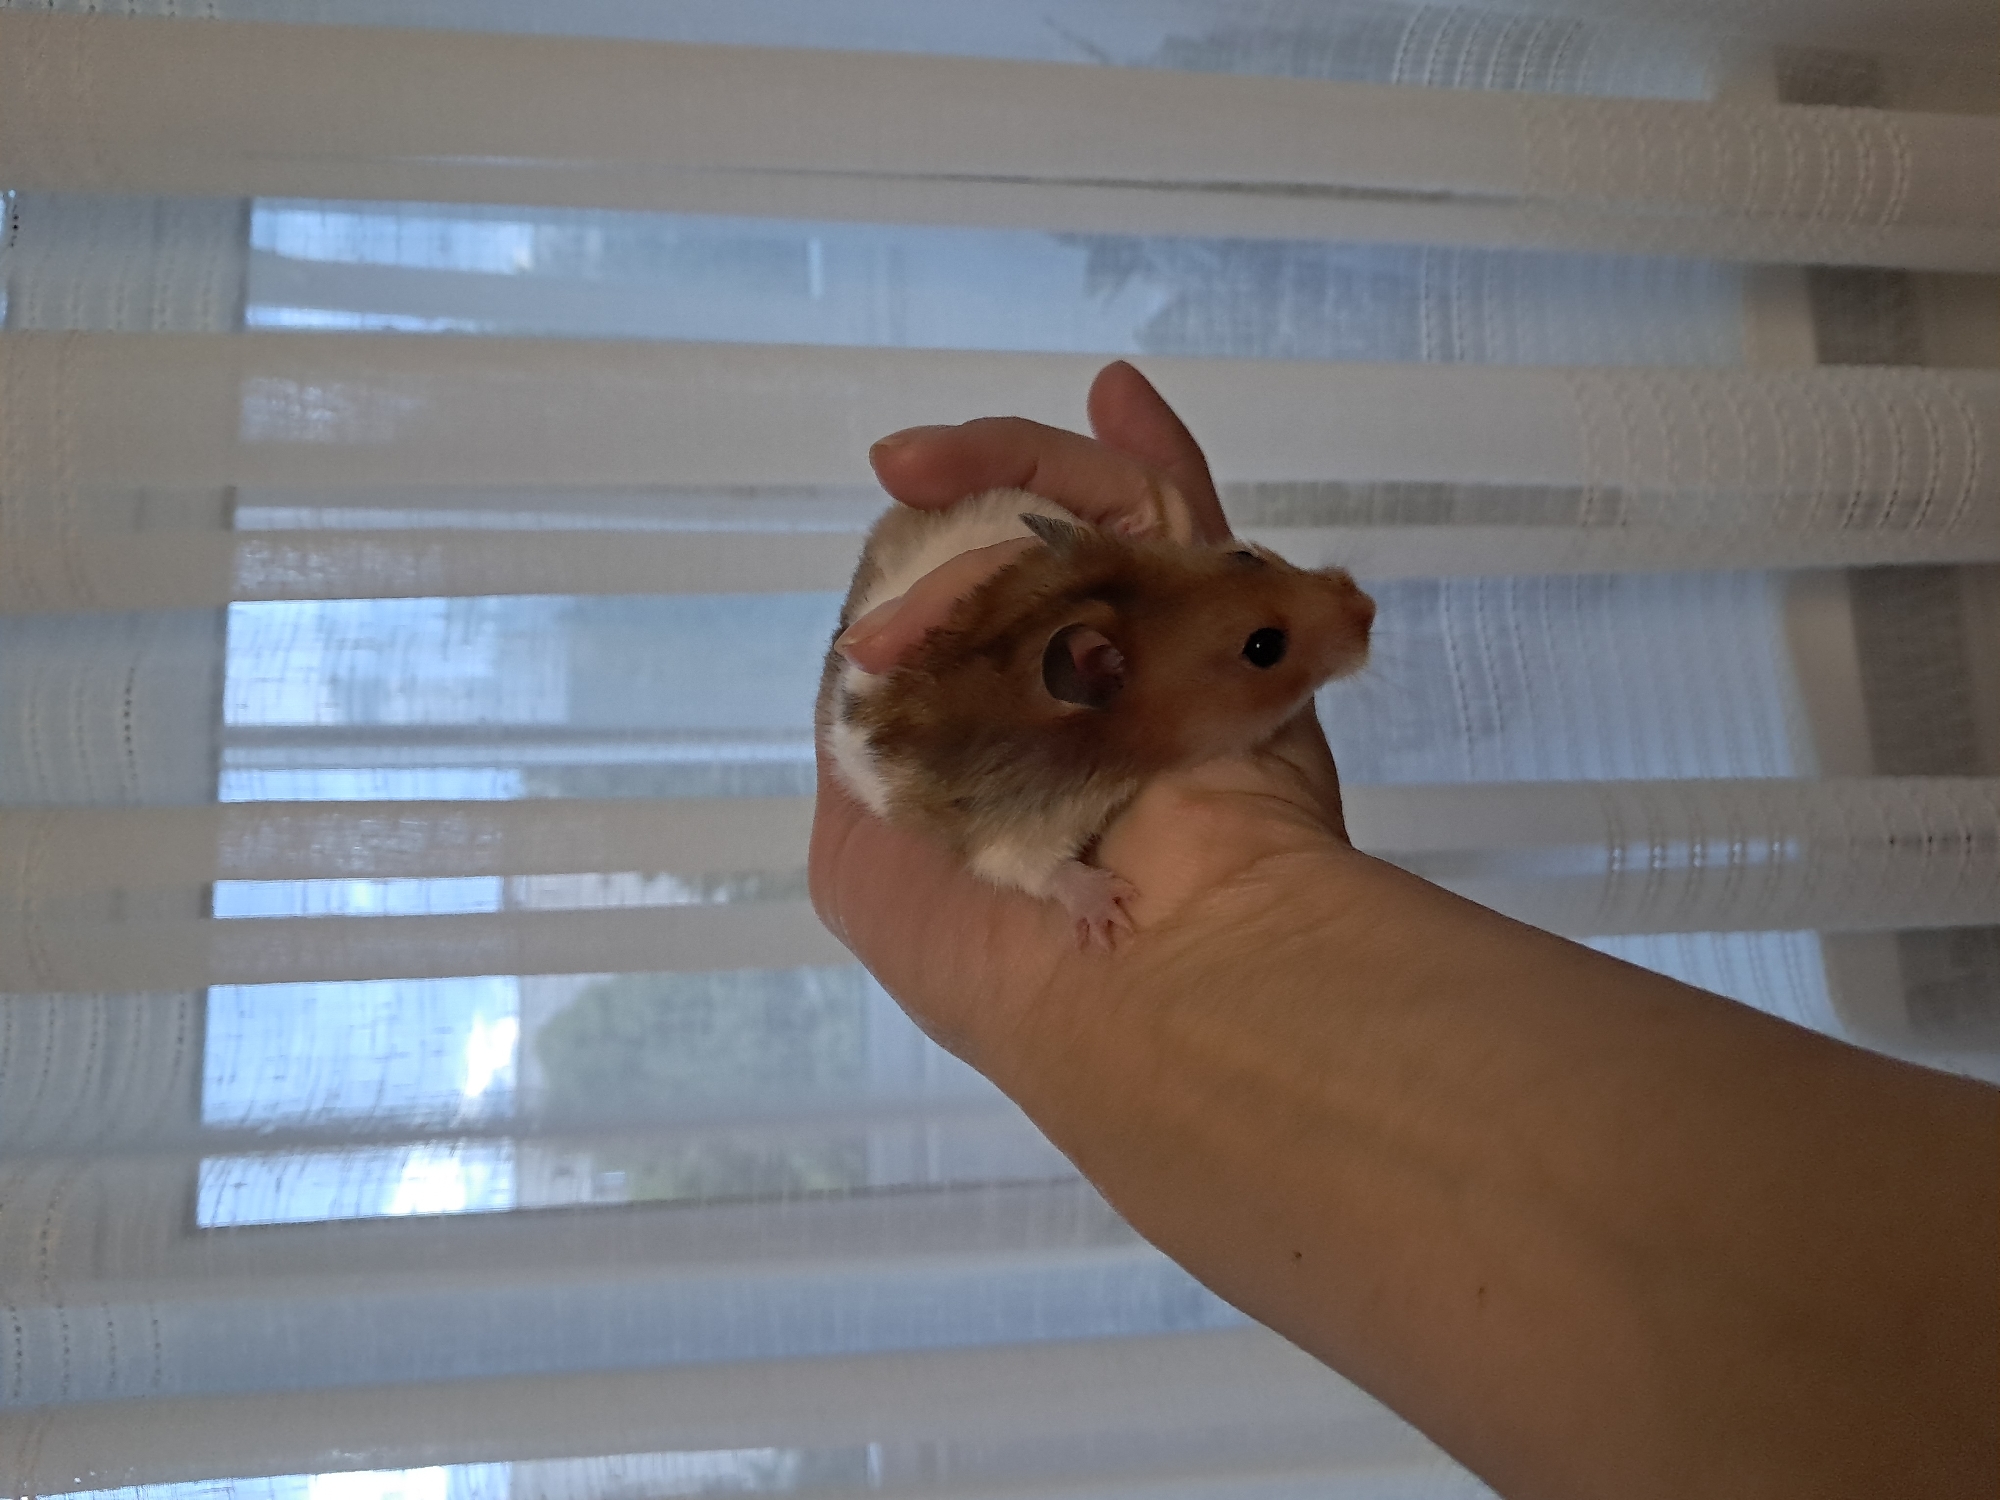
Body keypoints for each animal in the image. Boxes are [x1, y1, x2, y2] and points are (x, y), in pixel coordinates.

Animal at [819, 488, 1375, 948]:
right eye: (1264, 647)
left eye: (1245, 554)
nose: (1368, 607)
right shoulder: (1007, 828)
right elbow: (1035, 870)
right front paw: (1113, 912)